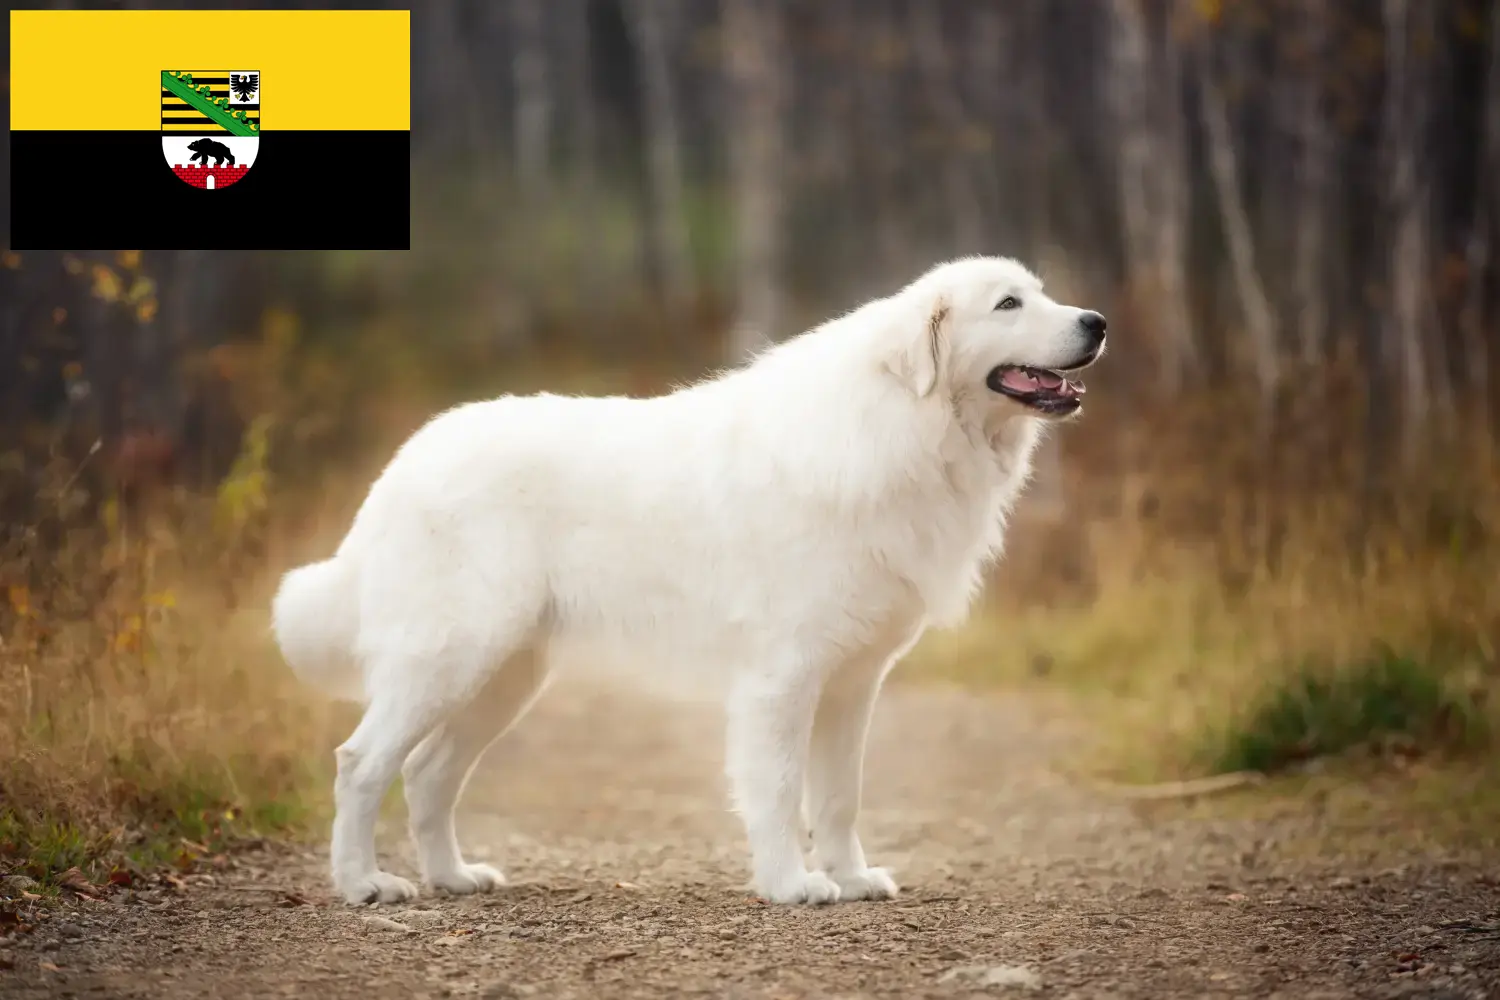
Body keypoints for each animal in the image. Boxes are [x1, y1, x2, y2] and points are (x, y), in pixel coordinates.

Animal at [276, 256, 1110, 905]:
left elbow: (839, 796)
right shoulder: (783, 676)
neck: (906, 424)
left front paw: (852, 878)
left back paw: (453, 877)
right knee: (362, 764)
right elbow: (779, 789)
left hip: (504, 677)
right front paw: (793, 885)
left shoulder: (853, 681)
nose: (1098, 321)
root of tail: (407, 458)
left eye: (1040, 292)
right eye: (1008, 304)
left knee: (427, 774)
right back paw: (364, 885)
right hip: (450, 657)